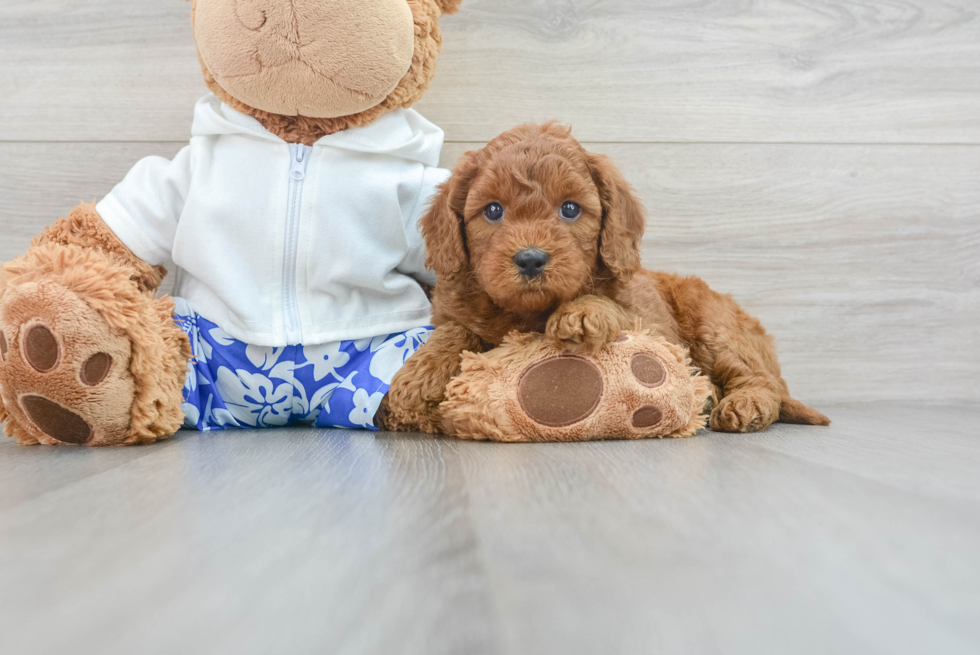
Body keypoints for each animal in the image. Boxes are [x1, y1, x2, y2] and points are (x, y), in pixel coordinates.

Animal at [378, 123, 832, 436]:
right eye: (492, 211)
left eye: (570, 209)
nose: (530, 259)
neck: (529, 312)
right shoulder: (456, 310)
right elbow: (454, 332)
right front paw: (415, 381)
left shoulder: (654, 326)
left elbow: (613, 306)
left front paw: (582, 313)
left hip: (714, 325)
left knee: (759, 378)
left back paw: (743, 404)